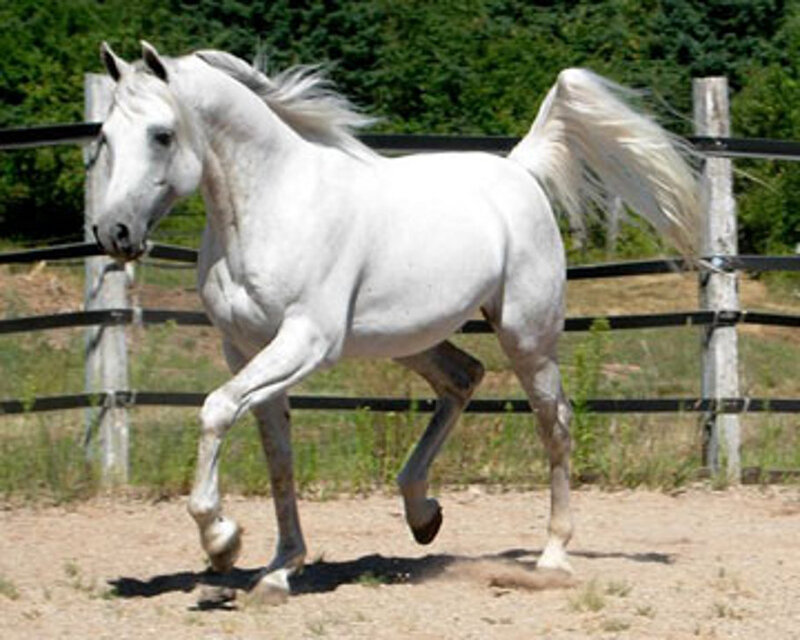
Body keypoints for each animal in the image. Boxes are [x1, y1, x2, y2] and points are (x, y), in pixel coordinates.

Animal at [92, 41, 699, 600]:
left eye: (162, 135)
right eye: (105, 137)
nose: (113, 232)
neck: (273, 206)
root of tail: (518, 169)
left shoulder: (306, 342)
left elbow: (216, 409)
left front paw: (222, 542)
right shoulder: (244, 349)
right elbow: (277, 458)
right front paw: (279, 569)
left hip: (527, 336)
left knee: (556, 423)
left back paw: (551, 557)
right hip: (410, 338)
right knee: (463, 378)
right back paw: (422, 513)